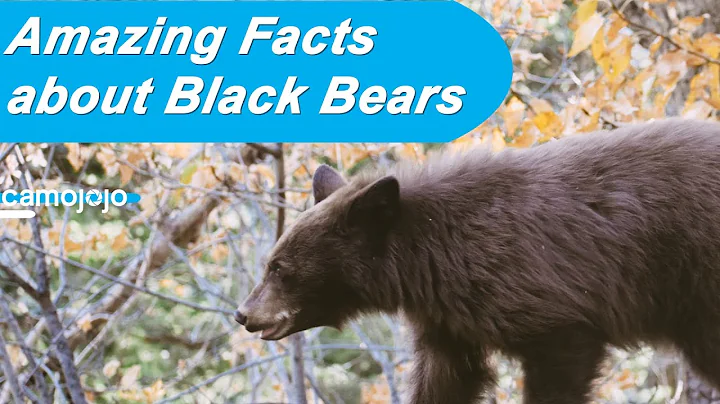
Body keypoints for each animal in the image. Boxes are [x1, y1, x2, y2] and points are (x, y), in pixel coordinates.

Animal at [235, 119, 720, 404]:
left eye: (279, 268)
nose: (243, 313)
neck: (431, 257)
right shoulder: (448, 321)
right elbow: (445, 378)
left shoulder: (550, 305)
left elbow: (559, 362)